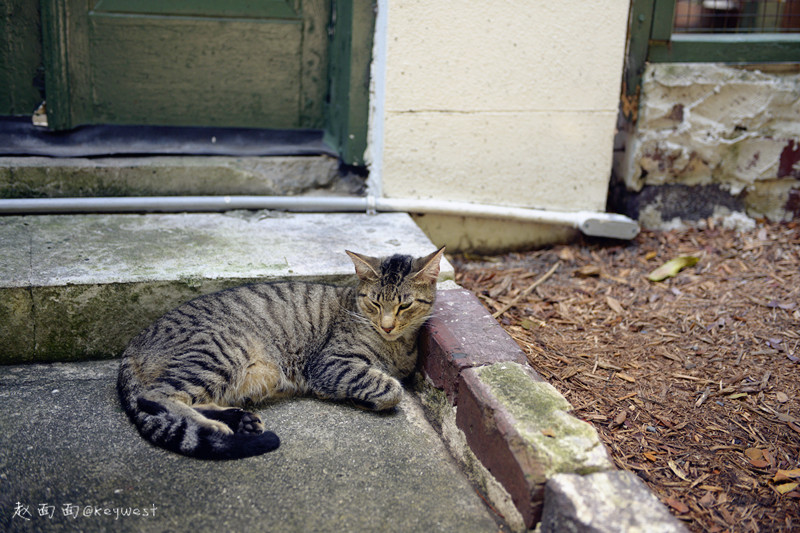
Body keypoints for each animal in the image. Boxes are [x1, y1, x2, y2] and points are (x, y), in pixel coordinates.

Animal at [118, 245, 444, 458]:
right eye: (375, 303)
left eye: (405, 305)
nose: (387, 326)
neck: (396, 344)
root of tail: (132, 345)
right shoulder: (330, 364)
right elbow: (391, 388)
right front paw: (369, 397)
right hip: (222, 352)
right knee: (157, 396)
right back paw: (219, 428)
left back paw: (239, 419)